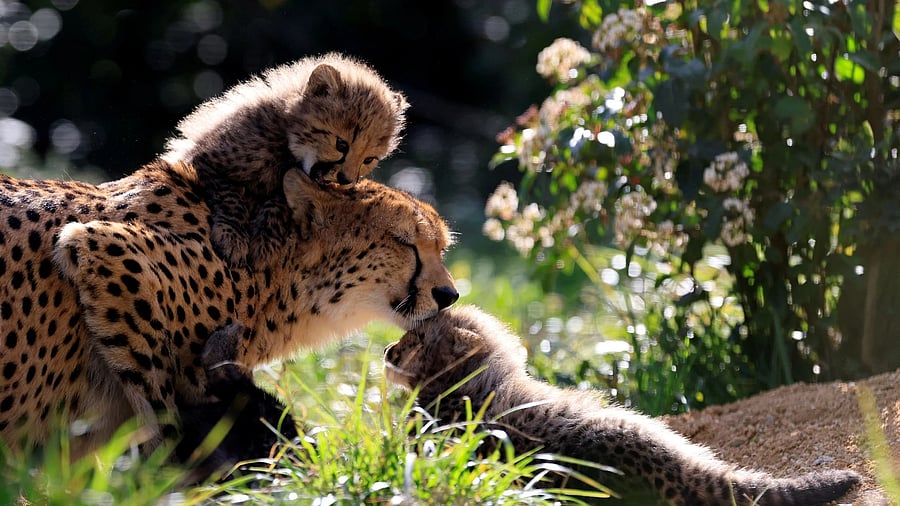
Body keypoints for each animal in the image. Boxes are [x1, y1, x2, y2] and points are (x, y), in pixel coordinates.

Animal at [0, 160, 457, 460]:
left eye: (441, 248)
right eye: (405, 243)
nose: (449, 294)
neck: (272, 279)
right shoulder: (106, 251)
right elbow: (163, 418)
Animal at [162, 52, 409, 269]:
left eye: (369, 159)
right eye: (341, 145)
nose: (346, 179)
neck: (287, 142)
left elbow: (279, 202)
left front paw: (264, 242)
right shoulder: (205, 160)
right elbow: (231, 198)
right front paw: (232, 237)